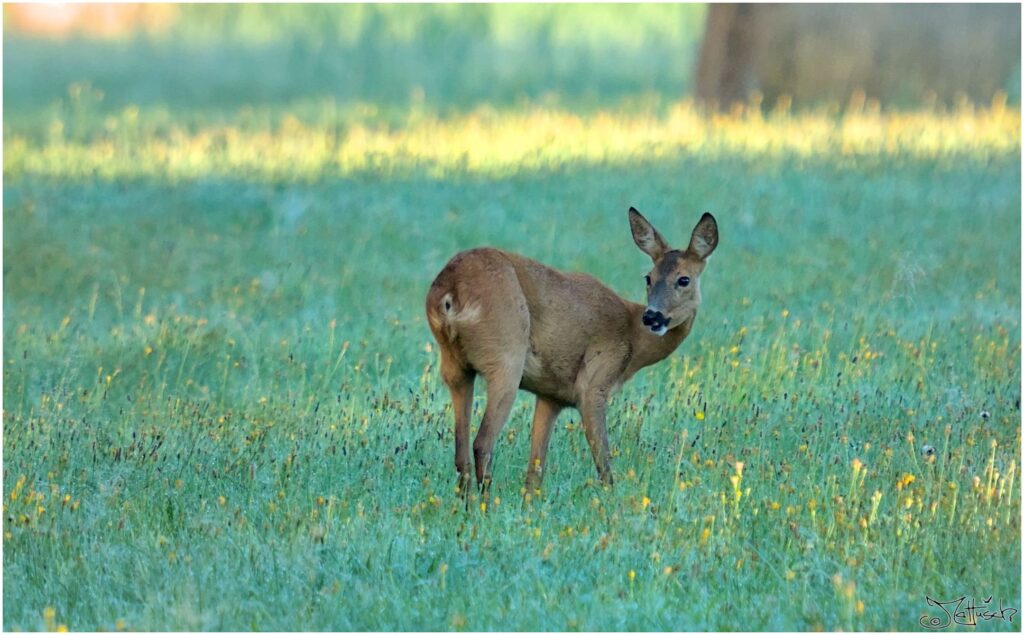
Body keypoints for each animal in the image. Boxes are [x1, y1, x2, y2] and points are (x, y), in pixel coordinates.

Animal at [425, 207, 720, 495]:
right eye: (649, 277)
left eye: (684, 279)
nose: (652, 317)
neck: (633, 341)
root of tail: (450, 291)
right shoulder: (593, 385)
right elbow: (604, 465)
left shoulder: (551, 395)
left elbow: (535, 473)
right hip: (505, 357)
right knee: (482, 443)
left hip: (455, 367)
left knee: (460, 451)